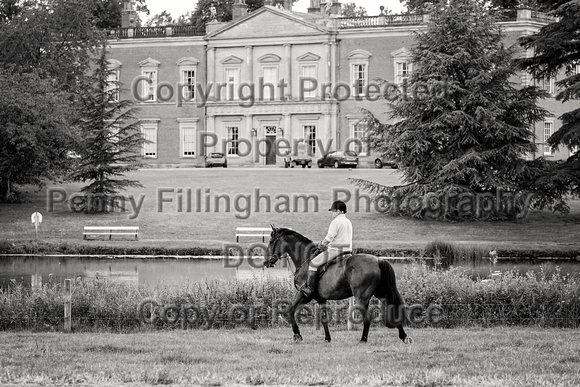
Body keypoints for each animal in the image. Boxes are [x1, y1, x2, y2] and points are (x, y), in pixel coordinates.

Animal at [264, 226, 412, 344]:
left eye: (271, 242)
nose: (266, 262)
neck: (306, 260)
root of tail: (378, 260)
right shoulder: (321, 299)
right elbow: (324, 319)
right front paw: (327, 338)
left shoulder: (304, 295)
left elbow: (290, 311)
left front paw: (297, 335)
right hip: (381, 293)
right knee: (391, 307)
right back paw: (404, 336)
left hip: (361, 297)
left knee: (367, 319)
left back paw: (363, 340)